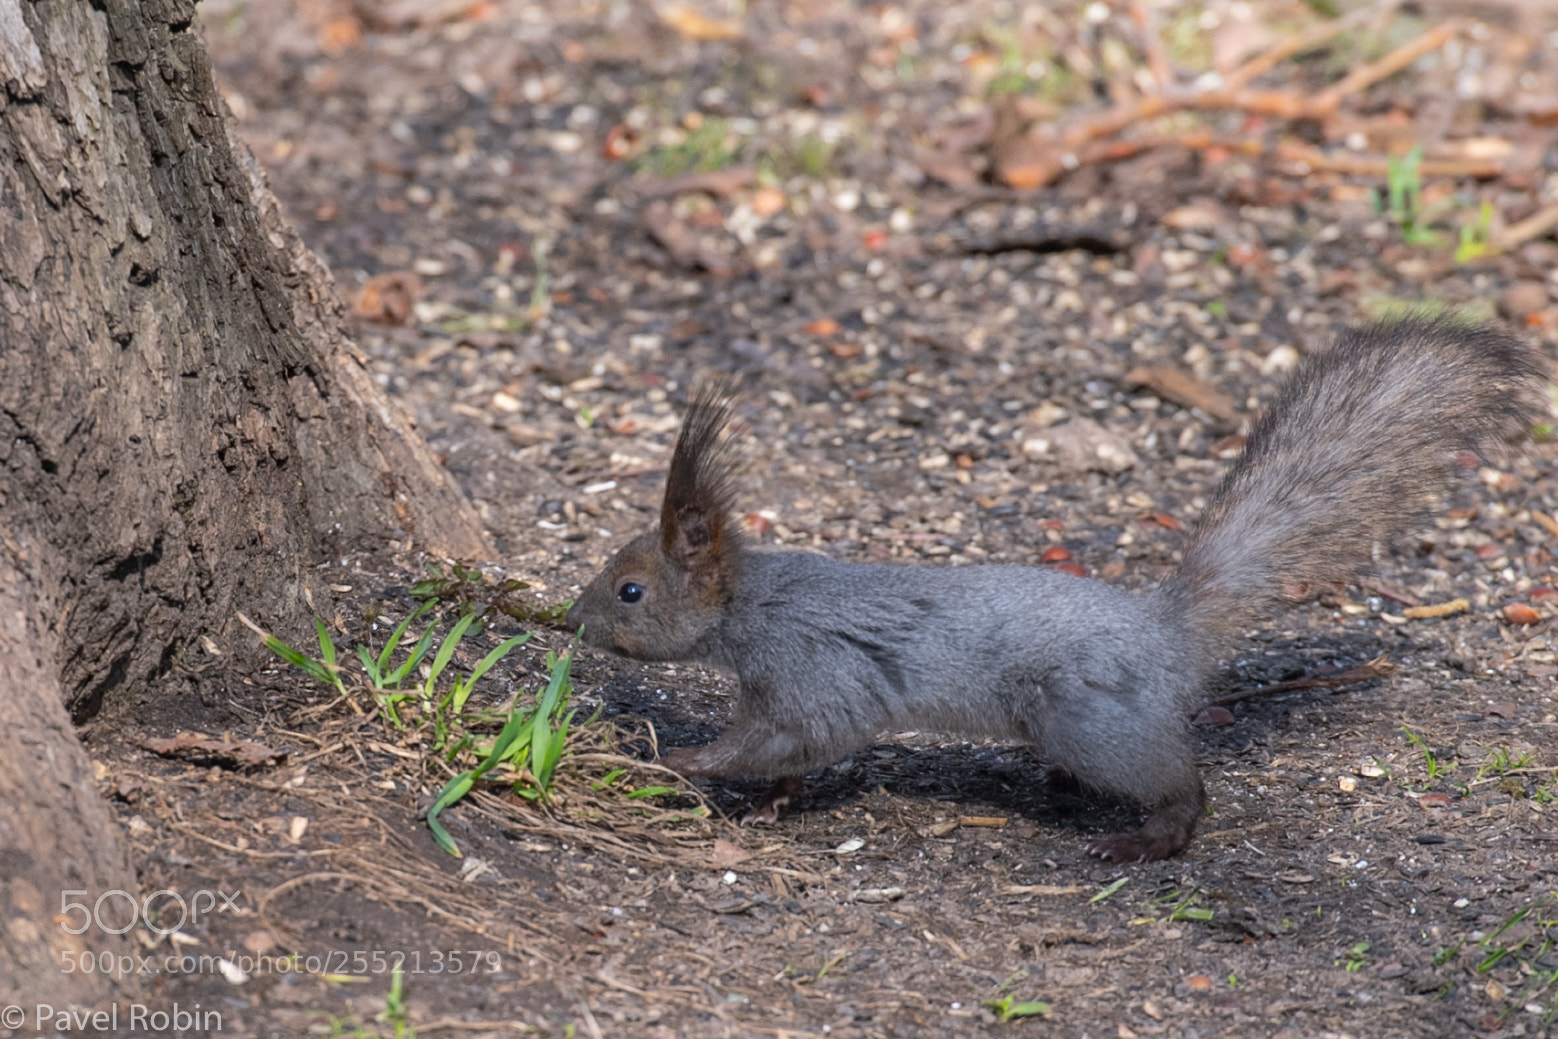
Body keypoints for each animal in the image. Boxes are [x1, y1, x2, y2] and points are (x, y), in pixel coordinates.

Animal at [565, 320, 1544, 861]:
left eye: (629, 590)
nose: (569, 618)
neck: (753, 603)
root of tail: (1164, 630)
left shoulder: (810, 667)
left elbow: (793, 734)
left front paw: (687, 760)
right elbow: (793, 755)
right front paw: (768, 798)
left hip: (1088, 712)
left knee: (1181, 785)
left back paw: (1145, 837)